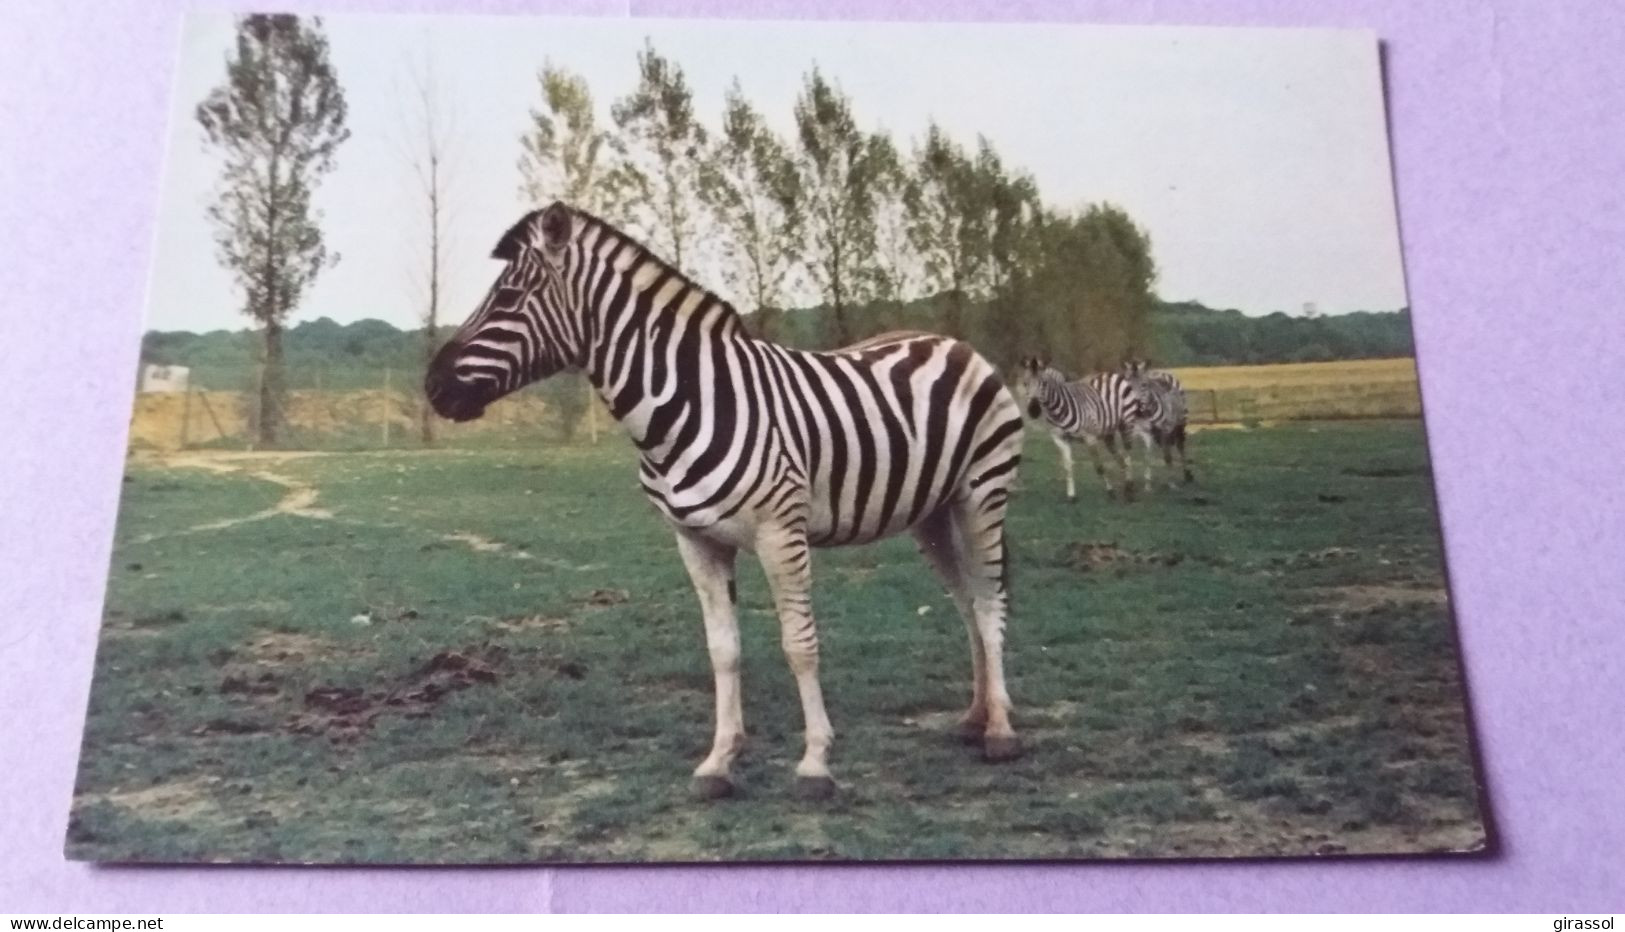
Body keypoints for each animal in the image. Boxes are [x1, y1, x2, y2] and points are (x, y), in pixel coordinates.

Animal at [425, 204, 1020, 805]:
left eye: (507, 297)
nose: (432, 386)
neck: (691, 403)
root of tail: (952, 342)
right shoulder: (695, 540)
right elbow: (723, 650)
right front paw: (718, 761)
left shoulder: (781, 533)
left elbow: (799, 644)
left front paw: (815, 763)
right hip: (931, 512)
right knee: (966, 600)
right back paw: (974, 716)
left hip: (981, 491)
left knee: (988, 599)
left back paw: (1000, 730)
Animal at [1007, 357, 1150, 503]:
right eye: (1025, 383)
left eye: (1044, 383)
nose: (1034, 410)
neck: (1058, 411)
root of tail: (1111, 374)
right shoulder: (1060, 439)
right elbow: (1067, 466)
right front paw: (1071, 496)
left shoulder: (1090, 438)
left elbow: (1099, 466)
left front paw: (1110, 491)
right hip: (1108, 433)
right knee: (1120, 458)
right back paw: (1127, 484)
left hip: (1126, 424)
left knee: (1127, 454)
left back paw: (1129, 490)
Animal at [1118, 360, 1196, 490]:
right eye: (1128, 386)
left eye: (1144, 385)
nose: (1137, 410)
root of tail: (1160, 372)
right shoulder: (1135, 432)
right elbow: (1136, 457)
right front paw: (1137, 484)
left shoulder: (1164, 430)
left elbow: (1166, 456)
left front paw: (1171, 482)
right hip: (1158, 434)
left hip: (1180, 423)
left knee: (1180, 446)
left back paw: (1187, 475)